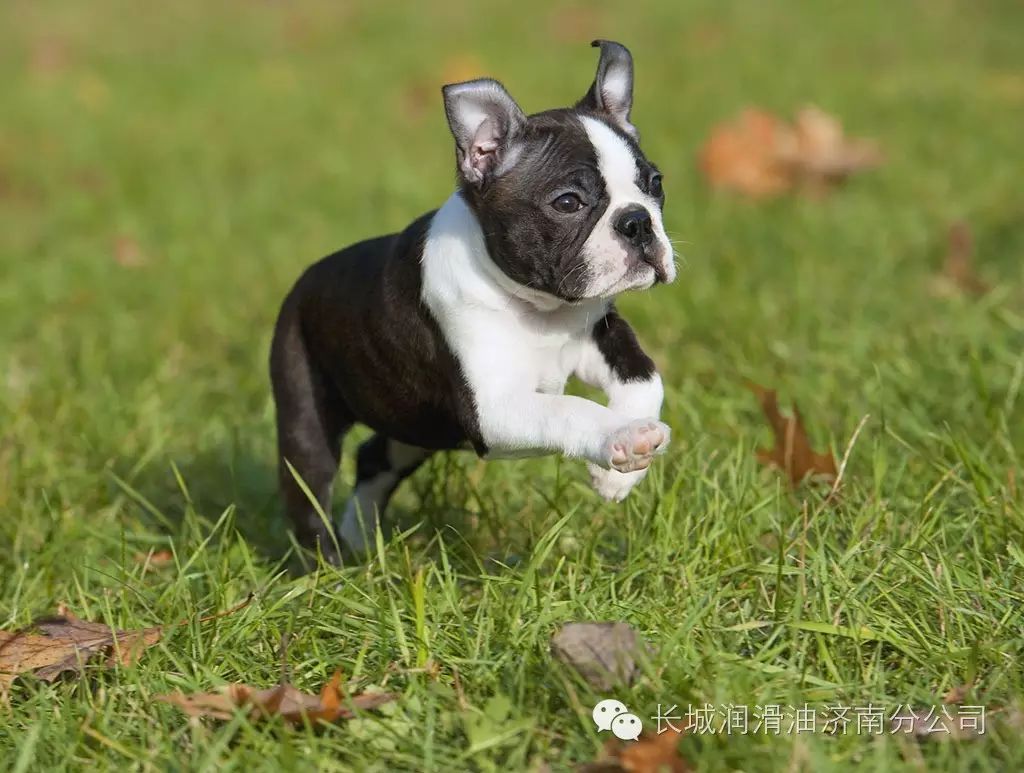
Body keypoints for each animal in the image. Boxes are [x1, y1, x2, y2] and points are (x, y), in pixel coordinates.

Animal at [268, 40, 675, 561]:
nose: (638, 222)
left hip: (415, 423)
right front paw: (620, 436)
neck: (542, 309)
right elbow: (569, 409)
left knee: (375, 456)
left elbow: (646, 379)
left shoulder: (601, 334)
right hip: (307, 410)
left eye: (655, 183)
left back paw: (361, 542)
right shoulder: (494, 409)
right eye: (568, 202)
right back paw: (331, 563)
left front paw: (617, 474)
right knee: (308, 489)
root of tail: (301, 285)